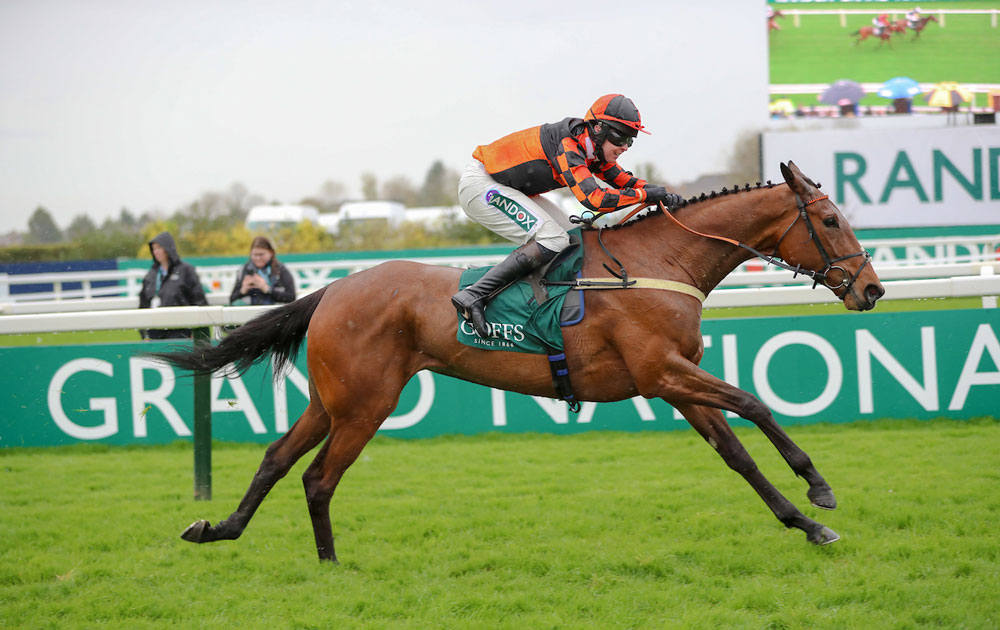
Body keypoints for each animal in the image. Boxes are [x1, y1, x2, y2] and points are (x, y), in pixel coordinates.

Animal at [149, 161, 885, 563]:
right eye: (830, 220)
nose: (872, 290)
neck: (659, 262)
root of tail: (332, 289)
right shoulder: (663, 372)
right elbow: (756, 403)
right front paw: (819, 488)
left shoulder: (675, 383)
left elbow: (737, 456)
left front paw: (807, 523)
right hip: (365, 404)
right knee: (319, 477)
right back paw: (328, 564)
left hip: (332, 400)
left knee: (278, 459)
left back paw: (220, 530)